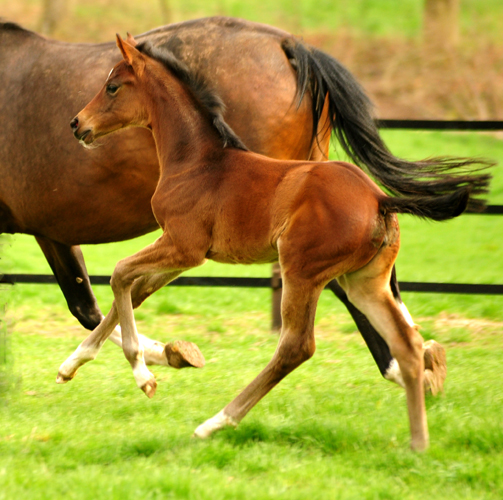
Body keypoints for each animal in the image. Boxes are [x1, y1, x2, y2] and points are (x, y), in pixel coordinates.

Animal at [59, 35, 492, 450]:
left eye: (112, 86)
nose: (77, 124)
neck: (197, 161)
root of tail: (378, 198)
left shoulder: (184, 246)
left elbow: (119, 275)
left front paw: (142, 375)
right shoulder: (184, 257)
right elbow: (134, 291)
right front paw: (71, 364)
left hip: (302, 271)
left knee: (296, 347)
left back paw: (214, 423)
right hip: (364, 281)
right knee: (407, 342)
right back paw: (418, 443)